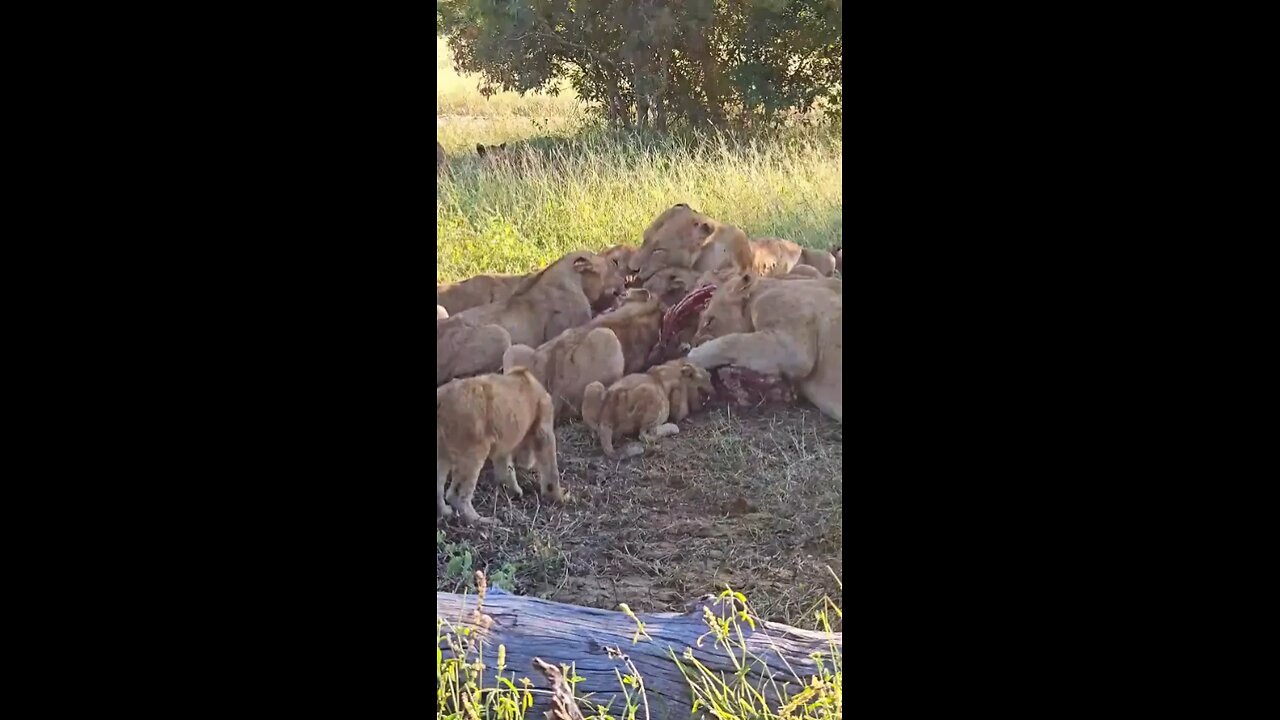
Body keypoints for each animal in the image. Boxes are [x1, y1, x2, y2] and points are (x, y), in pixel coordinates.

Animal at [437, 366, 563, 525]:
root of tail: (441, 400)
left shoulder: (503, 445)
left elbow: (506, 467)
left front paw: (515, 491)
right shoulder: (543, 426)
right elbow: (550, 465)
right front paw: (558, 496)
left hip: (443, 453)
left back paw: (445, 511)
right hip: (474, 450)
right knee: (456, 494)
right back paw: (484, 520)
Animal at [583, 356, 716, 456]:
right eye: (708, 378)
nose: (714, 390)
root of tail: (607, 417)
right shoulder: (679, 404)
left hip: (594, 386)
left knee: (594, 432)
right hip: (655, 397)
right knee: (644, 434)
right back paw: (670, 431)